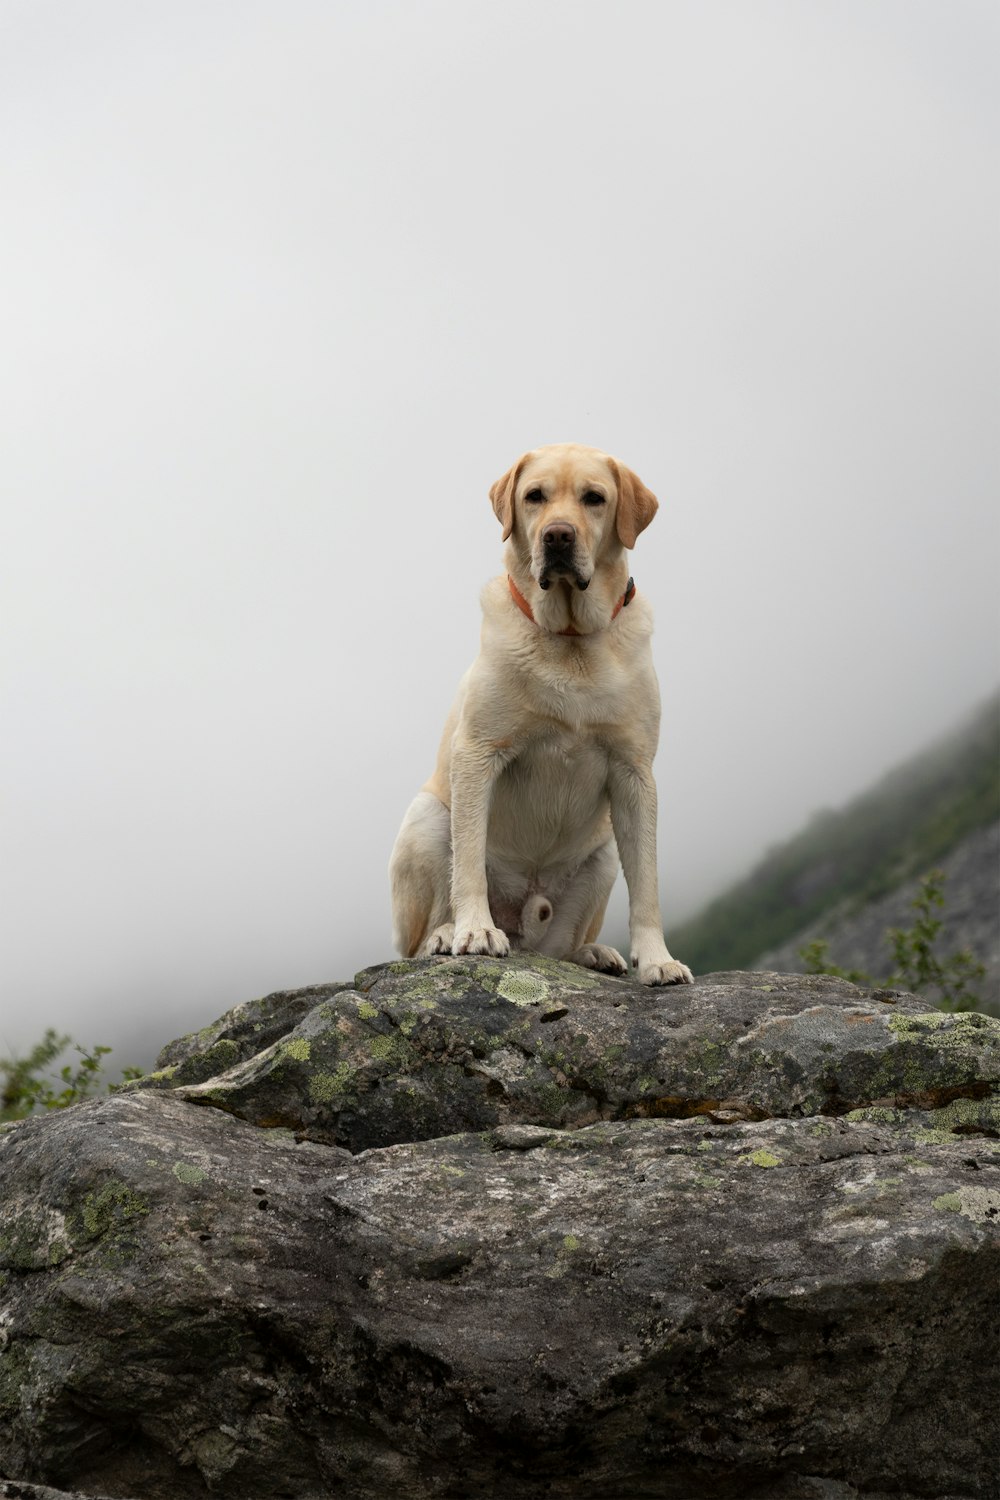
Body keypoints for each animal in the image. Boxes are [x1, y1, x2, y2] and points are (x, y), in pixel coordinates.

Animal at [389, 438, 695, 990]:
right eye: (535, 496)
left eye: (594, 498)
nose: (557, 535)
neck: (570, 639)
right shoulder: (478, 753)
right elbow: (468, 860)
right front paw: (474, 930)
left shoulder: (635, 773)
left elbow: (649, 883)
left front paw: (657, 959)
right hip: (427, 819)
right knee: (416, 941)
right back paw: (445, 935)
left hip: (602, 856)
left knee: (560, 949)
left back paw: (592, 952)